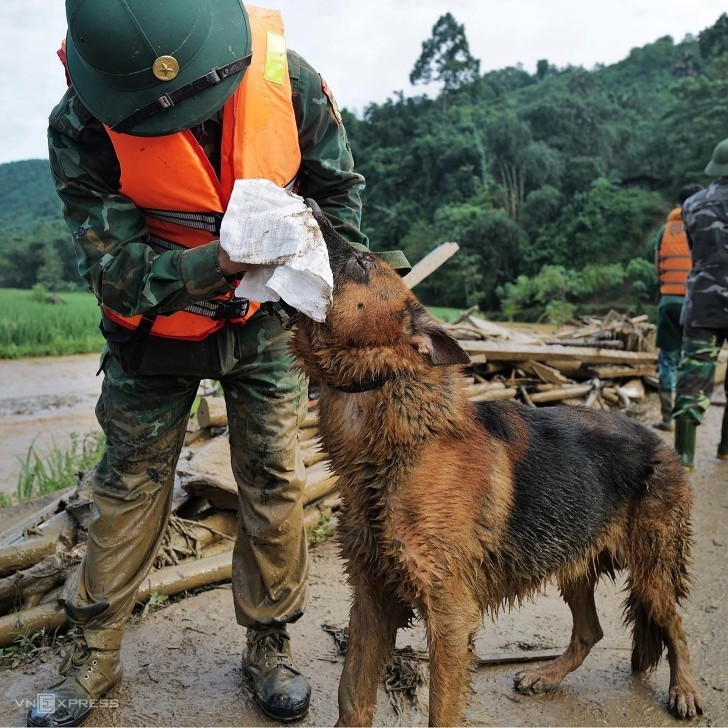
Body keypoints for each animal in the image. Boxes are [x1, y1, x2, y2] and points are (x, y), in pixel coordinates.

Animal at [292, 206, 704, 728]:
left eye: (362, 262)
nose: (308, 201)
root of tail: (662, 444)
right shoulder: (371, 600)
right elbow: (351, 697)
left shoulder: (449, 616)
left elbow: (441, 712)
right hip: (573, 561)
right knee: (590, 631)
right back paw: (546, 675)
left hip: (652, 570)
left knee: (675, 623)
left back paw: (685, 689)